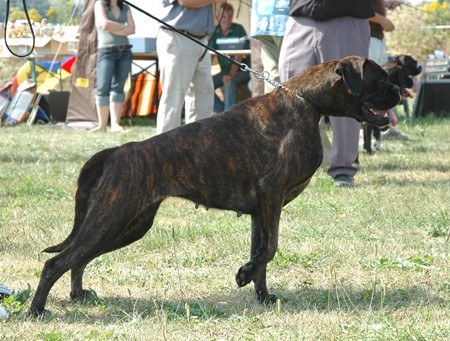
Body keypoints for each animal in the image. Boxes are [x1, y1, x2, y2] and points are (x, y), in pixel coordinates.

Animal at [29, 55, 400, 314]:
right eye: (382, 79)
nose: (399, 90)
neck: (306, 101)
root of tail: (118, 152)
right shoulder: (271, 195)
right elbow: (270, 249)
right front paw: (244, 274)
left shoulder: (261, 211)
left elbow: (262, 252)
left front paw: (261, 293)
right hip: (111, 219)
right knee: (56, 263)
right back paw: (37, 310)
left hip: (127, 226)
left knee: (78, 259)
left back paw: (78, 295)